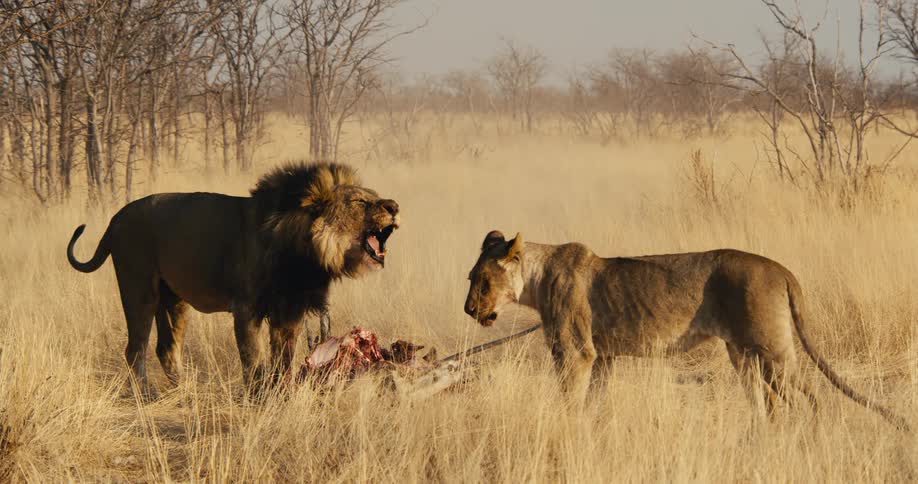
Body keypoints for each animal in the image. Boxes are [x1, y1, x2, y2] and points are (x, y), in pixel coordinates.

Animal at [67, 161, 400, 398]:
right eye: (360, 203)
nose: (395, 206)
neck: (306, 255)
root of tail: (115, 219)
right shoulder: (247, 308)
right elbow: (253, 357)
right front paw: (257, 396)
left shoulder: (289, 311)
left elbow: (283, 358)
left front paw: (281, 394)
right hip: (139, 290)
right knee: (135, 347)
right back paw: (148, 394)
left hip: (174, 301)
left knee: (166, 347)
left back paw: (184, 389)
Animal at [463, 231, 910, 430]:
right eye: (471, 278)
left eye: (482, 282)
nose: (469, 310)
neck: (535, 281)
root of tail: (781, 269)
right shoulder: (603, 356)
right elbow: (593, 399)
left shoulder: (575, 352)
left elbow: (569, 398)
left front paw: (567, 427)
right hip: (743, 354)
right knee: (766, 399)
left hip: (773, 349)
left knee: (811, 395)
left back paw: (811, 435)